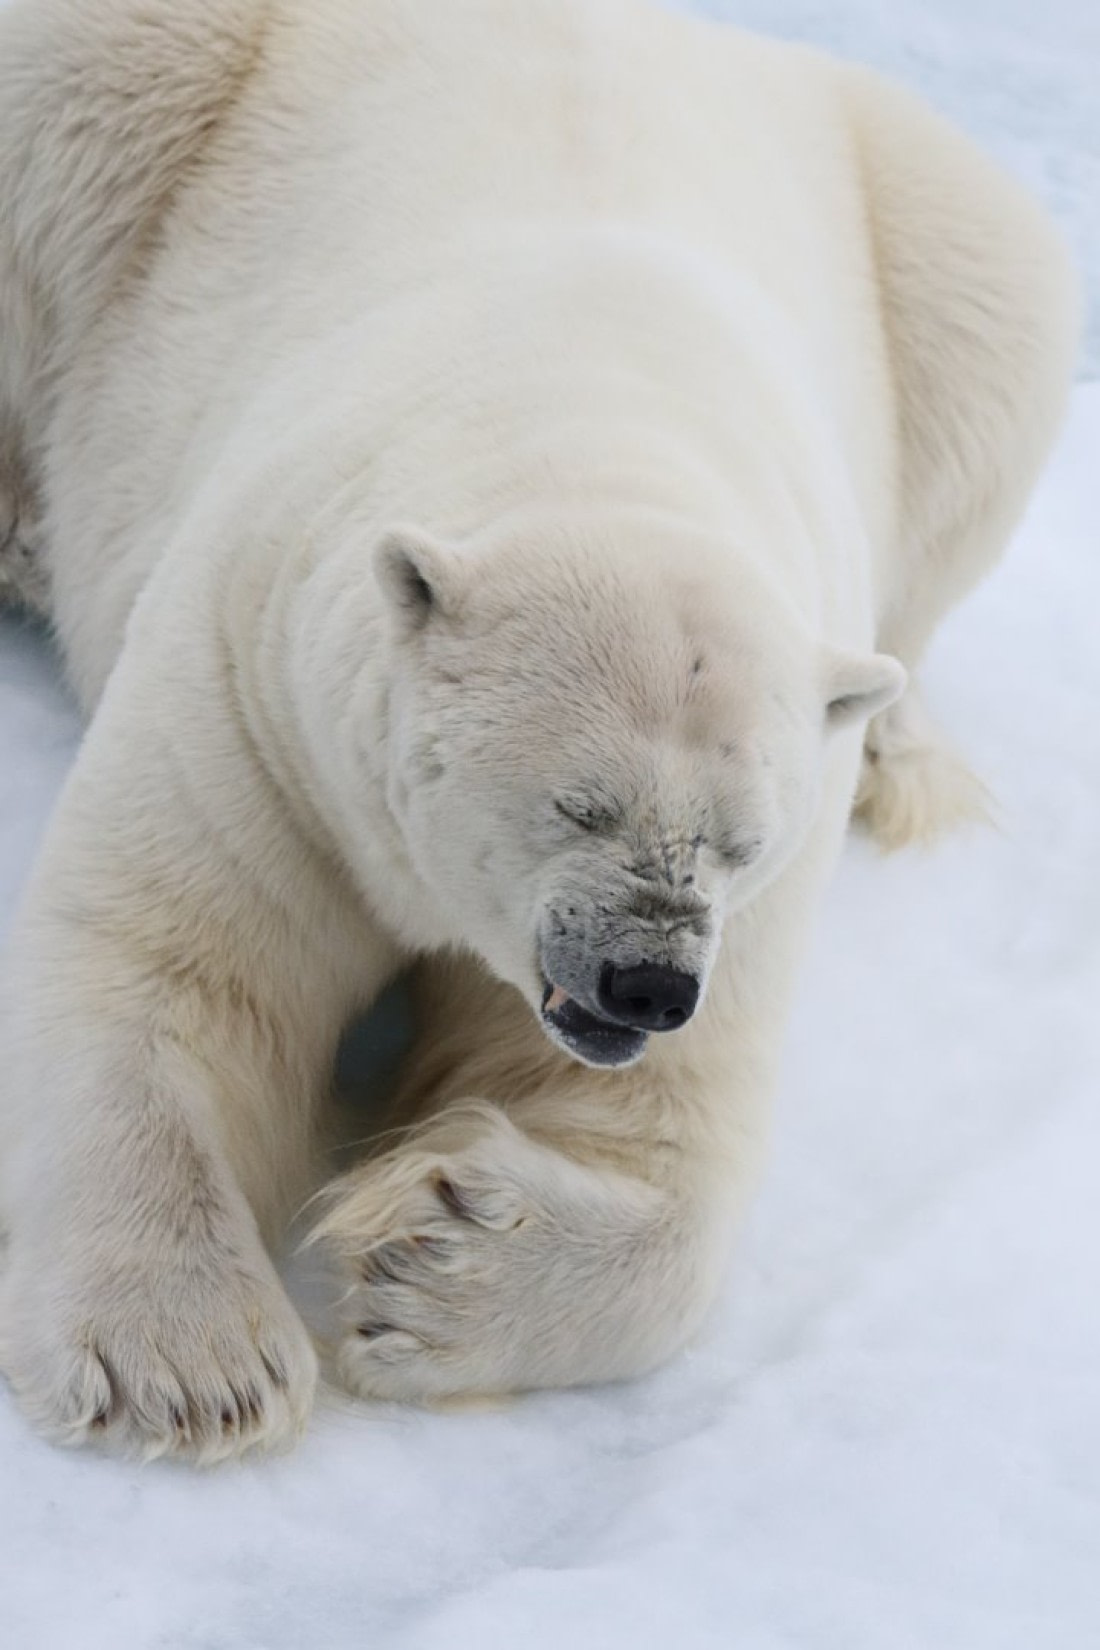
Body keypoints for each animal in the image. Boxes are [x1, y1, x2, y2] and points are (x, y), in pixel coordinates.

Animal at [0, 0, 1078, 1462]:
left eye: (736, 841)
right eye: (579, 801)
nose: (647, 984)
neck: (599, 412)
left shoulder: (758, 884)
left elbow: (647, 1136)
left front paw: (431, 1257)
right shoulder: (263, 685)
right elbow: (171, 965)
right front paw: (188, 1364)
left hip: (934, 235)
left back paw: (909, 756)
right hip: (149, 91)